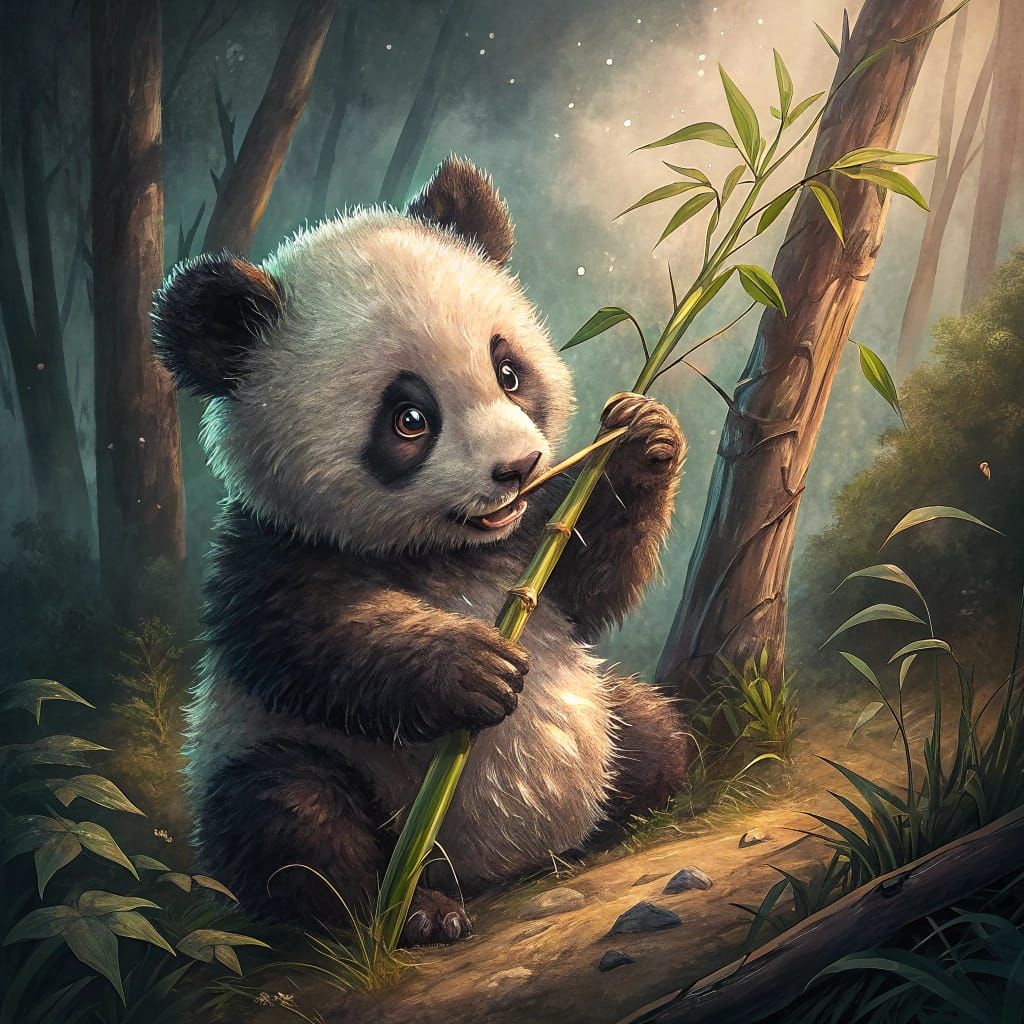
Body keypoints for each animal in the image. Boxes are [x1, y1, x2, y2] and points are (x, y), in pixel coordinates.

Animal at [152, 156, 694, 946]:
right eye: (410, 419)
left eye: (508, 372)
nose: (518, 468)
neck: (445, 552)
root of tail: (495, 872)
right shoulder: (272, 550)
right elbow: (314, 637)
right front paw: (471, 668)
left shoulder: (527, 540)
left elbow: (585, 583)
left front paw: (642, 436)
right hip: (279, 757)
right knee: (290, 813)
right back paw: (407, 916)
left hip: (608, 729)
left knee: (652, 731)